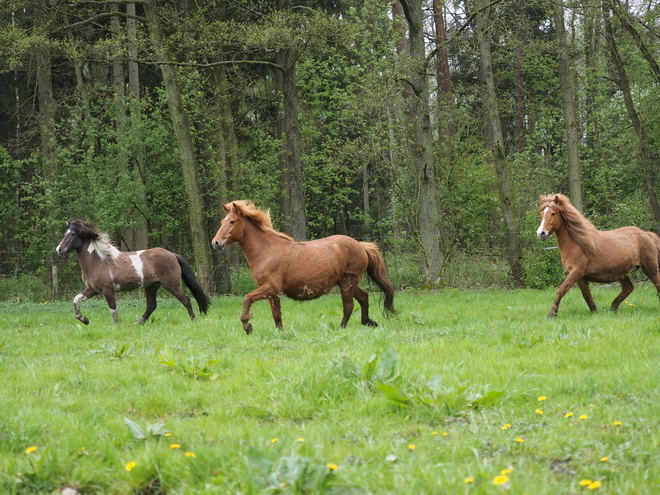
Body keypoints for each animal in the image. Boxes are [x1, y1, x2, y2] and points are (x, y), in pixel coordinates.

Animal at [58, 221, 211, 326]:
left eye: (72, 234)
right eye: (65, 233)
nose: (59, 250)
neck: (99, 261)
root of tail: (173, 254)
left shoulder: (108, 290)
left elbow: (113, 310)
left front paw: (116, 326)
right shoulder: (93, 290)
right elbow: (76, 299)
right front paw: (85, 320)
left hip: (171, 284)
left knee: (186, 300)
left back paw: (194, 320)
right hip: (152, 286)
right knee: (151, 306)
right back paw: (138, 323)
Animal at [214, 200, 394, 336]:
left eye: (232, 221)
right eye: (222, 221)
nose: (216, 243)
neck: (266, 250)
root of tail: (361, 246)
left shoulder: (270, 287)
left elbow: (247, 298)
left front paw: (247, 326)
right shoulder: (272, 293)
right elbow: (276, 315)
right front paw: (280, 333)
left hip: (347, 282)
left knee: (348, 306)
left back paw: (341, 328)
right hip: (348, 283)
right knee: (363, 297)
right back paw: (368, 322)